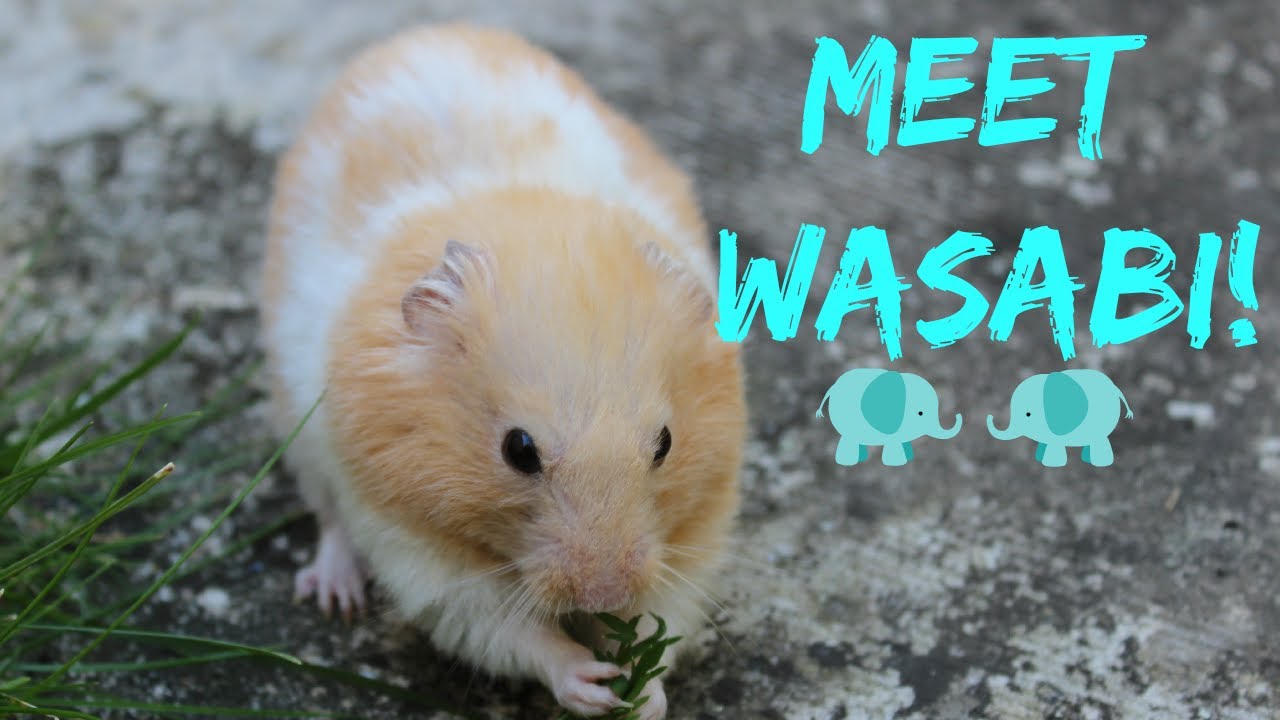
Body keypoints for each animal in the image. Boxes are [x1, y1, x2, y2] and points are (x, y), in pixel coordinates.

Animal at [258, 22, 747, 719]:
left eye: (665, 444)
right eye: (518, 451)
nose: (603, 592)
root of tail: (422, 33)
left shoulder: (696, 530)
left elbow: (665, 615)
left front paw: (643, 694)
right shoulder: (415, 544)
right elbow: (511, 632)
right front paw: (590, 684)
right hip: (298, 424)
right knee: (327, 518)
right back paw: (333, 595)